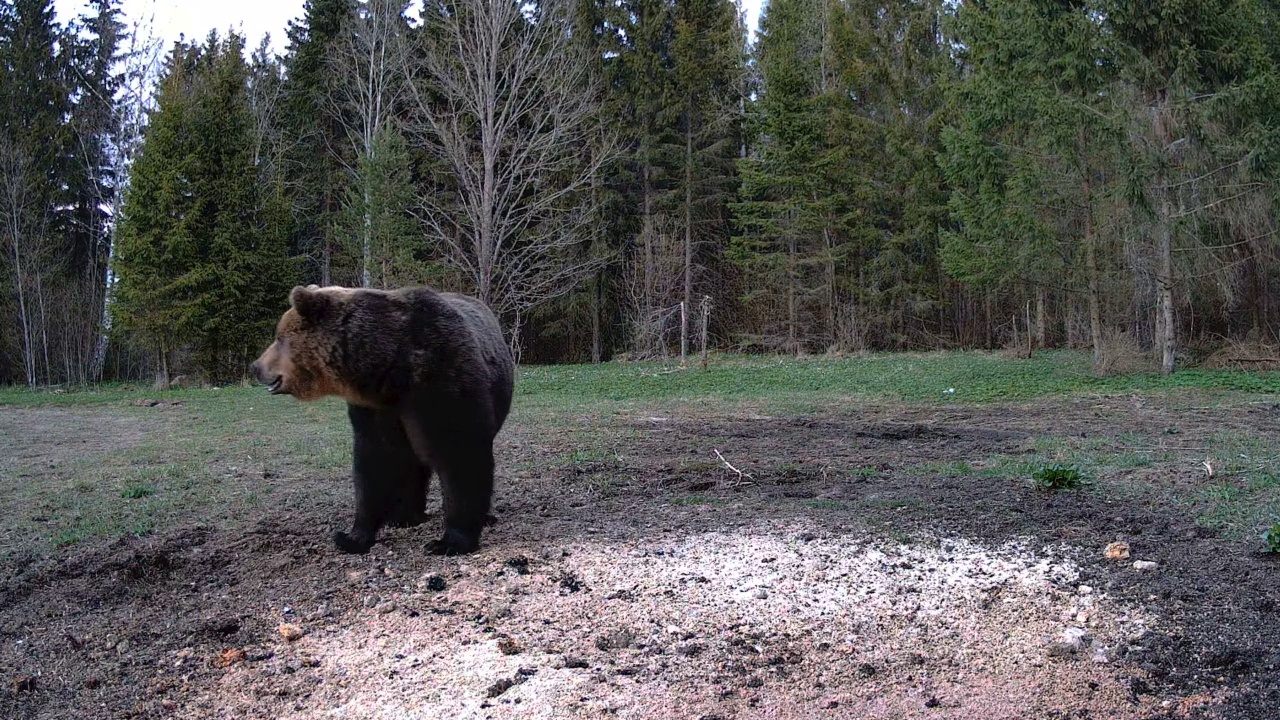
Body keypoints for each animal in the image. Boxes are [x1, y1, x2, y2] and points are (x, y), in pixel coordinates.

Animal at [249, 283, 514, 550]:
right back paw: (405, 515)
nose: (255, 367)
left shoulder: (442, 377)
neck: (390, 368)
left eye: (279, 338)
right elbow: (374, 462)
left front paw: (450, 541)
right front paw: (352, 536)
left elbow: (459, 451)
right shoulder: (375, 409)